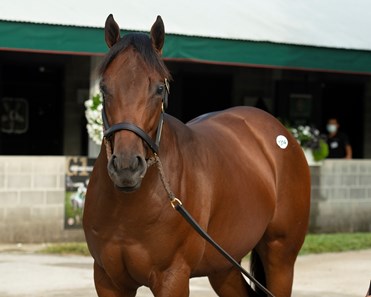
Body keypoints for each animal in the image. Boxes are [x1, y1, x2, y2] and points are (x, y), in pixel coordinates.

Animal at [83, 13, 310, 296]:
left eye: (159, 88)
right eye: (104, 88)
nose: (126, 167)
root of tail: (280, 133)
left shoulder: (173, 278)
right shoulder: (108, 280)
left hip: (280, 258)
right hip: (224, 266)